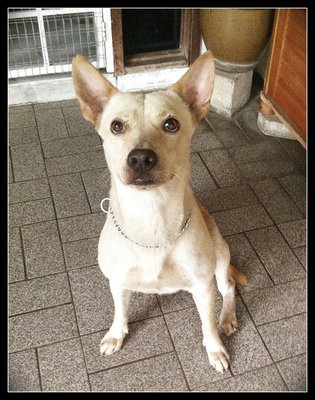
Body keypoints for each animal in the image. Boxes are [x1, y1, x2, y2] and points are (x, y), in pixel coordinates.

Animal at [73, 51, 248, 374]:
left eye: (170, 125)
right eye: (116, 126)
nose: (141, 158)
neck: (151, 216)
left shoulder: (202, 286)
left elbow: (207, 324)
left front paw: (215, 349)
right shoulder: (117, 281)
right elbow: (120, 311)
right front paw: (116, 334)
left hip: (220, 258)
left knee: (228, 287)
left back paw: (227, 318)